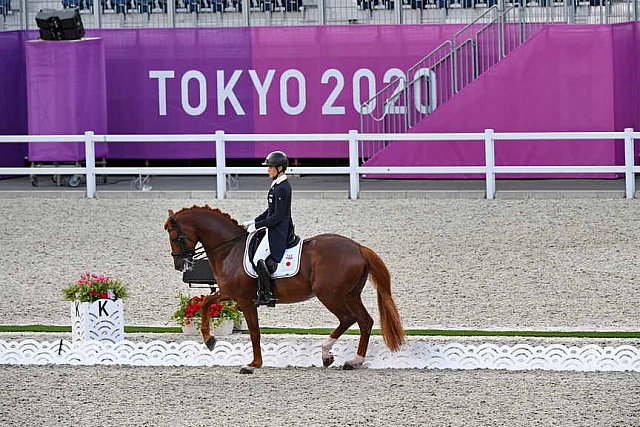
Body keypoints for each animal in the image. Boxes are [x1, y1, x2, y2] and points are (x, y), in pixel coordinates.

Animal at [165, 206, 404, 372]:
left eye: (175, 236)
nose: (178, 264)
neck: (230, 249)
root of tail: (358, 247)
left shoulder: (244, 300)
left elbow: (254, 332)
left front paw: (253, 364)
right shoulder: (229, 294)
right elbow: (206, 303)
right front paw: (209, 340)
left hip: (330, 295)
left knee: (348, 318)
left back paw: (328, 354)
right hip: (350, 294)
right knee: (365, 321)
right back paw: (354, 360)